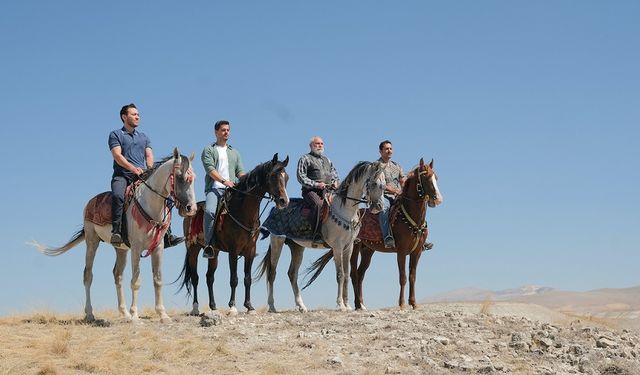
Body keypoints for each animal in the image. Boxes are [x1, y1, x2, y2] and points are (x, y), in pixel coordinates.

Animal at [31, 148, 196, 324]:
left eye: (193, 178)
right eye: (179, 176)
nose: (191, 208)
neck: (150, 205)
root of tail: (90, 202)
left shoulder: (158, 248)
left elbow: (158, 280)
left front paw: (162, 315)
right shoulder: (136, 248)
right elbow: (136, 281)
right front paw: (135, 316)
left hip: (121, 249)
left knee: (118, 275)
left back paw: (124, 313)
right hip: (92, 242)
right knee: (88, 275)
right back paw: (90, 314)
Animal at [179, 154, 292, 316]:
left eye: (286, 177)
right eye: (273, 176)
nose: (284, 201)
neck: (242, 211)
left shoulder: (250, 251)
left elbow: (247, 278)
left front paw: (249, 306)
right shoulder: (233, 251)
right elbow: (234, 278)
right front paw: (232, 306)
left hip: (214, 253)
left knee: (209, 277)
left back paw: (213, 306)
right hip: (193, 249)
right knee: (195, 278)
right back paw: (195, 308)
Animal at [258, 163, 388, 312]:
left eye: (384, 185)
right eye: (374, 183)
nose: (379, 206)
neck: (345, 210)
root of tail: (276, 207)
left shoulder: (348, 248)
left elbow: (347, 275)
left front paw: (348, 305)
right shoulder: (337, 247)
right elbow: (340, 275)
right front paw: (340, 305)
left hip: (297, 247)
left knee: (292, 274)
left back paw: (301, 306)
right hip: (277, 242)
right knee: (272, 273)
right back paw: (272, 306)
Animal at [304, 159, 440, 312]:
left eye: (436, 178)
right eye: (426, 178)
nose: (437, 199)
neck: (413, 218)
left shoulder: (416, 252)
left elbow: (412, 277)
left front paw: (414, 304)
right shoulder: (401, 252)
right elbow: (403, 277)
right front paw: (401, 304)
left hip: (368, 251)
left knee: (360, 274)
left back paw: (361, 304)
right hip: (354, 249)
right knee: (354, 274)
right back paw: (357, 304)